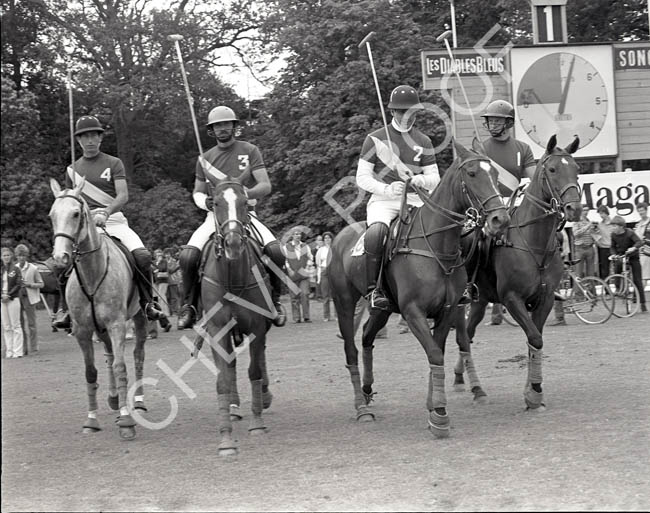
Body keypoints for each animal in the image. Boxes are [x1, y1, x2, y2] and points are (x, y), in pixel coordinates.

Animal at [49, 178, 148, 438]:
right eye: (52, 215)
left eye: (76, 214)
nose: (60, 258)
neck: (92, 274)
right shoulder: (83, 330)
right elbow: (91, 371)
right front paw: (91, 420)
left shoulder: (116, 325)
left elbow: (121, 366)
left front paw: (126, 421)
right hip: (100, 329)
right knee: (109, 355)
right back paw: (114, 399)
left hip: (139, 318)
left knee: (138, 355)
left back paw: (138, 403)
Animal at [197, 179, 274, 456]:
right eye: (217, 203)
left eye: (243, 202)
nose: (232, 244)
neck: (232, 277)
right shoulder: (217, 328)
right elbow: (223, 378)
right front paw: (226, 440)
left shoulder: (257, 326)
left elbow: (254, 370)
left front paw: (258, 424)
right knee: (229, 367)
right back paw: (233, 406)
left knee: (260, 358)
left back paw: (264, 396)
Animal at [332, 139, 508, 436]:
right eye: (472, 174)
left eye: (495, 174)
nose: (500, 220)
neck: (436, 246)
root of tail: (339, 237)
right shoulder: (413, 312)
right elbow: (435, 352)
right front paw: (440, 415)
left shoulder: (447, 310)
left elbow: (438, 352)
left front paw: (433, 407)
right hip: (344, 303)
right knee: (351, 350)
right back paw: (361, 408)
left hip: (382, 308)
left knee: (367, 336)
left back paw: (367, 390)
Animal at [450, 134, 584, 410]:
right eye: (552, 169)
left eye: (577, 169)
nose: (574, 209)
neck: (533, 242)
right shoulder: (513, 299)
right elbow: (534, 337)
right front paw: (534, 392)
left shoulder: (545, 299)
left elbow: (536, 339)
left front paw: (532, 390)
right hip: (460, 302)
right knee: (461, 337)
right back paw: (473, 386)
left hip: (480, 301)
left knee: (468, 334)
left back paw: (461, 377)